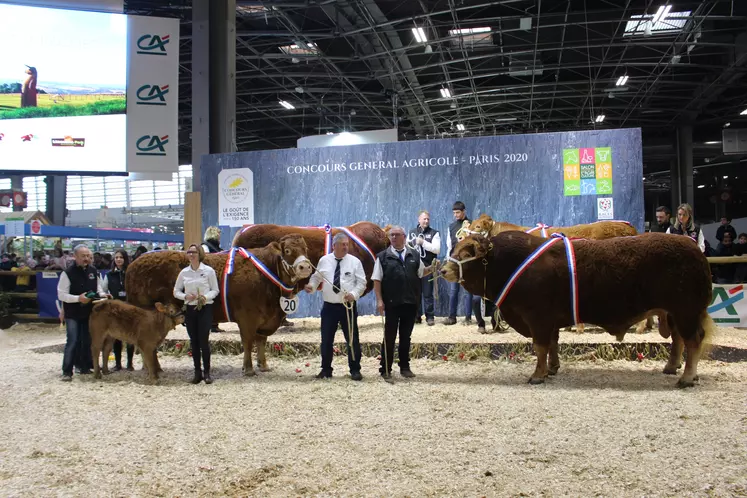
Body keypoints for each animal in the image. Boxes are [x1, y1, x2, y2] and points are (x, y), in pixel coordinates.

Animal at [128, 233, 312, 374]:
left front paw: (263, 366)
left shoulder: (266, 318)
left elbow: (261, 342)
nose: (305, 266)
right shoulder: (247, 317)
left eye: (306, 249)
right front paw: (248, 369)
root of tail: (134, 263)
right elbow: (248, 342)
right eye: (287, 250)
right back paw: (152, 368)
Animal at [442, 231, 716, 388]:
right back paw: (672, 367)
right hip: (675, 313)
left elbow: (540, 347)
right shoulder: (548, 321)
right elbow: (552, 344)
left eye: (466, 252)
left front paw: (538, 375)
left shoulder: (538, 318)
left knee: (693, 340)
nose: (443, 269)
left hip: (686, 311)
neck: (509, 262)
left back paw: (686, 378)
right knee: (679, 339)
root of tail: (694, 248)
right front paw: (552, 368)